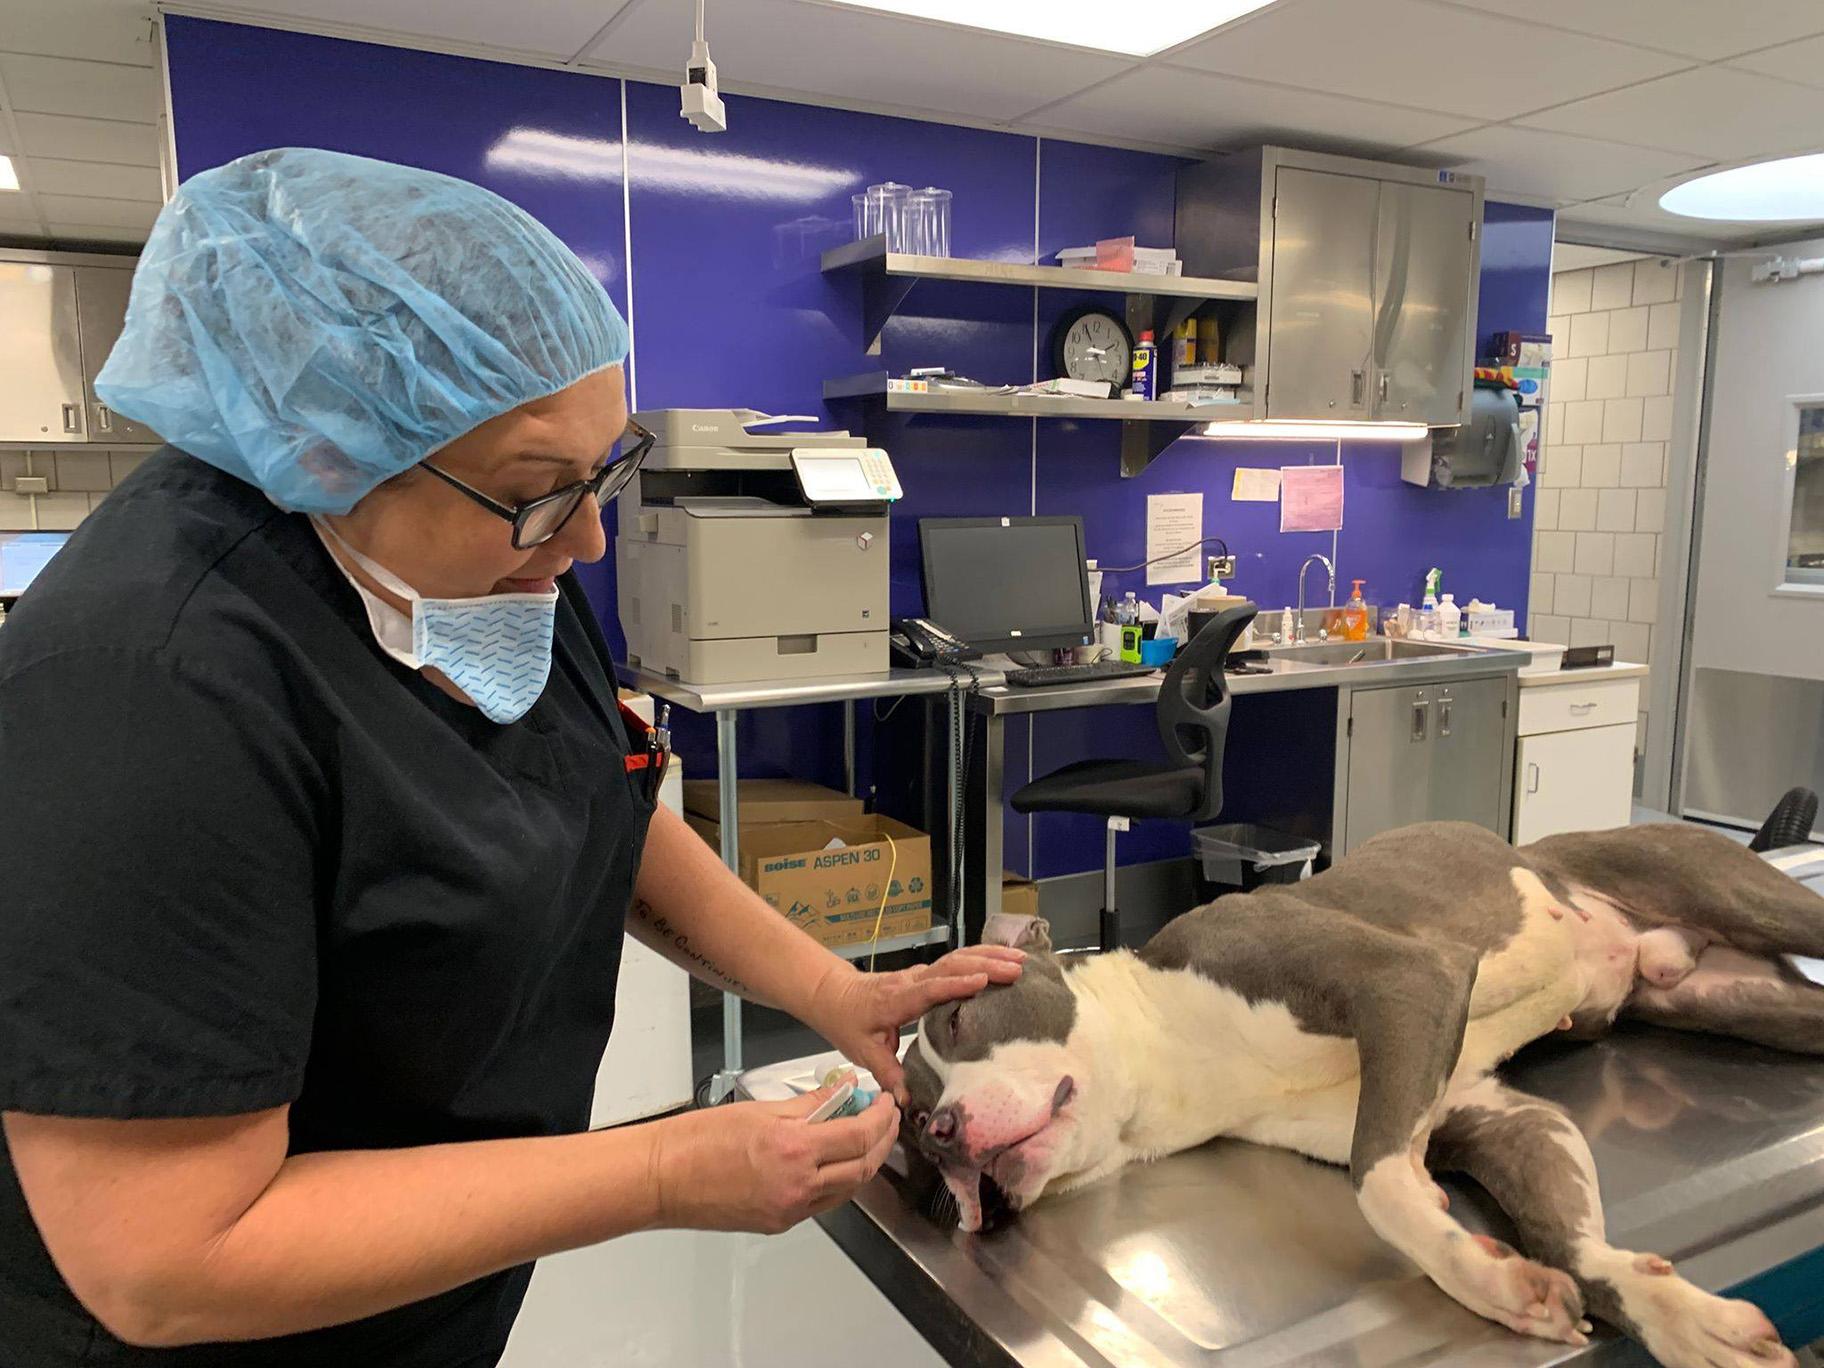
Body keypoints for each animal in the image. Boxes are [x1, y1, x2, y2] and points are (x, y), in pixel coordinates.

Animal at [901, 813, 1824, 1368]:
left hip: (1725, 888)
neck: (1177, 1053)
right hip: (1754, 1006)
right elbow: (1570, 1238)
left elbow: (1376, 1178)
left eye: (957, 1021)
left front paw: (1465, 1256)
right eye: (910, 1130)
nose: (942, 1134)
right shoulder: (1496, 1113)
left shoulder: (1407, 980)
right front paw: (1664, 1312)